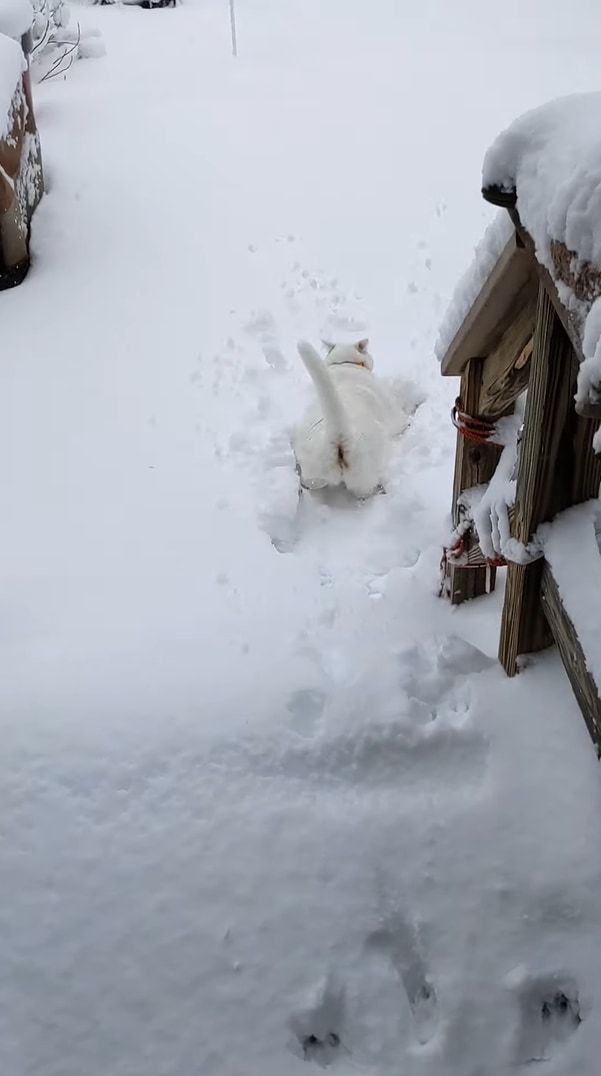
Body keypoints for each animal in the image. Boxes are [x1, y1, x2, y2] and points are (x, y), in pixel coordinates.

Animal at [292, 337, 402, 497]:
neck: (344, 363)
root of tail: (337, 435)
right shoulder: (395, 414)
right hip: (364, 475)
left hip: (313, 474)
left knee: (309, 483)